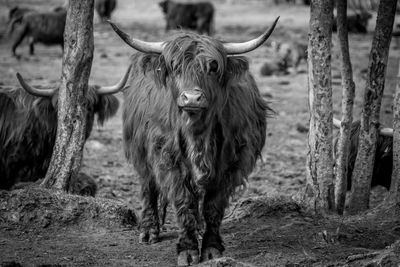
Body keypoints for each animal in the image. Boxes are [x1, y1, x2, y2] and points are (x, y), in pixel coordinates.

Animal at [108, 16, 280, 266]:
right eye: (175, 66)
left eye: (213, 67)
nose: (192, 98)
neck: (198, 133)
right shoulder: (168, 158)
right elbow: (184, 201)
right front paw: (187, 250)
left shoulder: (231, 163)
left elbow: (213, 206)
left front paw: (211, 248)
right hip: (141, 152)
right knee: (148, 186)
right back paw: (149, 231)